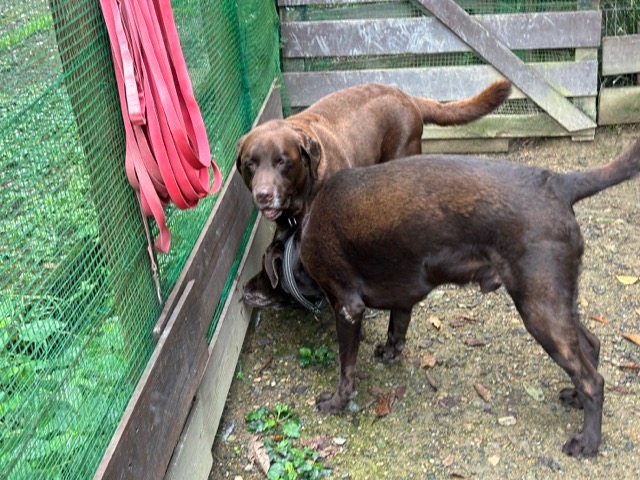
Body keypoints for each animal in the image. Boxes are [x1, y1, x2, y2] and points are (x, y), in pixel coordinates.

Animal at [254, 138, 640, 458]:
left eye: (267, 273)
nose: (247, 288)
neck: (302, 237)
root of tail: (559, 183)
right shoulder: (402, 298)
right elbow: (397, 328)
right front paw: (389, 352)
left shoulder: (347, 308)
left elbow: (346, 368)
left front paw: (336, 402)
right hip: (554, 300)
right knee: (591, 346)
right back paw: (574, 398)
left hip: (539, 308)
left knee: (593, 379)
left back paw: (588, 442)